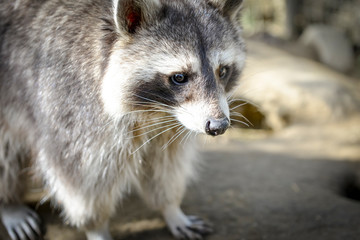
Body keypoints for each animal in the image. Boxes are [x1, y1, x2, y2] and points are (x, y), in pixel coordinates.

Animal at [0, 0, 245, 239]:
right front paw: (96, 228)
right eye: (179, 77)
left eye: (223, 71)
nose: (219, 126)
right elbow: (81, 181)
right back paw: (9, 205)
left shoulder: (172, 124)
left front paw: (171, 208)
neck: (156, 110)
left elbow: (166, 163)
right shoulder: (71, 105)